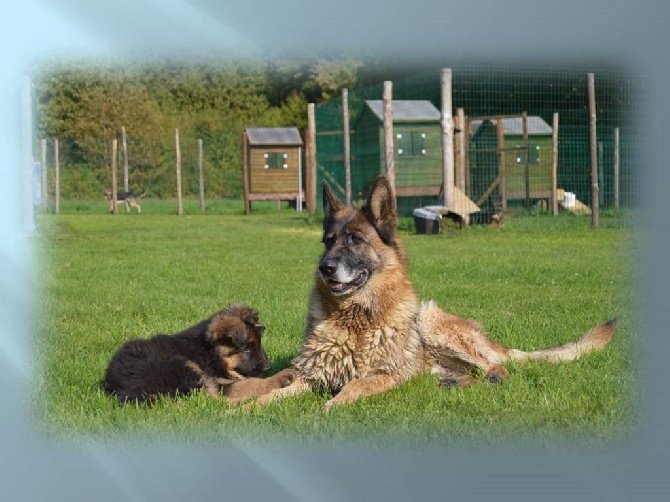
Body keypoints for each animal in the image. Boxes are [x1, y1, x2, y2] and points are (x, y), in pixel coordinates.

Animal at [102, 302, 296, 404]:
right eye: (247, 348)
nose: (268, 367)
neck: (208, 353)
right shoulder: (218, 380)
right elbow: (250, 382)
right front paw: (281, 376)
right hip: (181, 367)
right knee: (214, 401)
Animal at [243, 176, 620, 412]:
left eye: (355, 240)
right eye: (328, 241)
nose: (325, 268)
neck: (356, 318)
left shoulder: (386, 375)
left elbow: (355, 386)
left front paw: (335, 403)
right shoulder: (312, 376)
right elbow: (273, 393)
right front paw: (245, 409)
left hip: (431, 321)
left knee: (497, 366)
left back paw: (491, 377)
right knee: (468, 373)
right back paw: (453, 383)